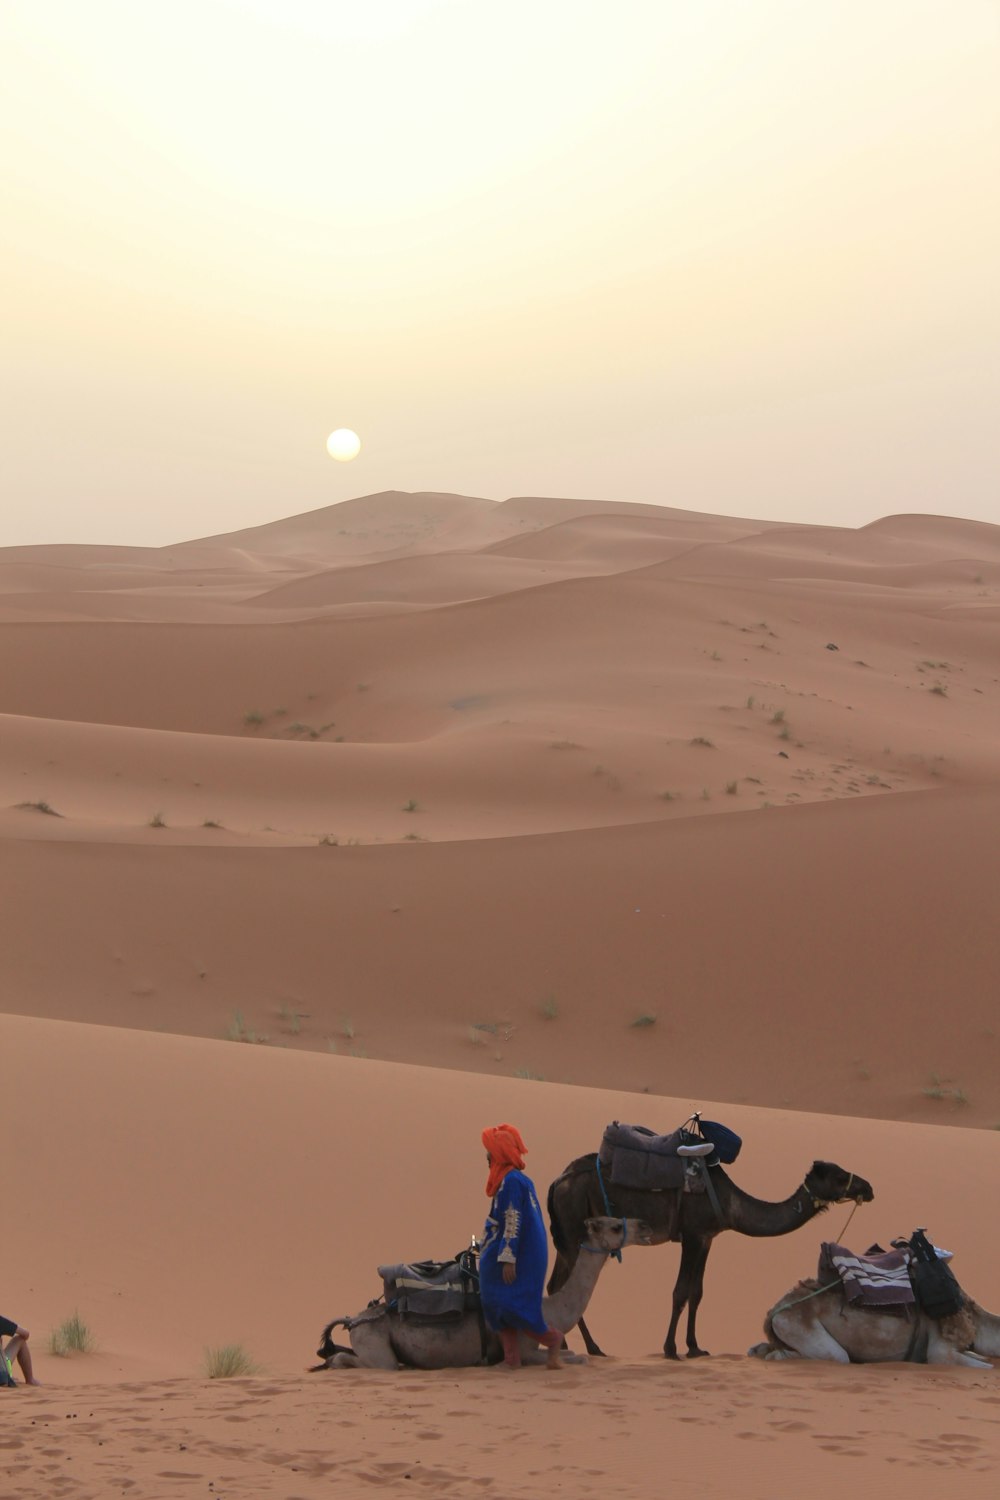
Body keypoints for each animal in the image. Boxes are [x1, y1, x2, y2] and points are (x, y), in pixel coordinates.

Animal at [551, 1152, 869, 1368]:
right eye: (839, 1176)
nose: (868, 1188)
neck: (729, 1202)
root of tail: (557, 1182)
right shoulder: (692, 1234)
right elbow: (680, 1292)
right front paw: (670, 1349)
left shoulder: (707, 1237)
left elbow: (697, 1292)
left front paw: (695, 1348)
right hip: (575, 1228)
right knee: (566, 1286)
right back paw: (587, 1347)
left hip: (567, 1235)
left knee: (555, 1285)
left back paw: (570, 1345)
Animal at [749, 1278, 1000, 1374]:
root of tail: (774, 1310)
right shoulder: (941, 1351)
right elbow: (986, 1367)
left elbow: (982, 1359)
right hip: (799, 1325)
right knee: (835, 1356)